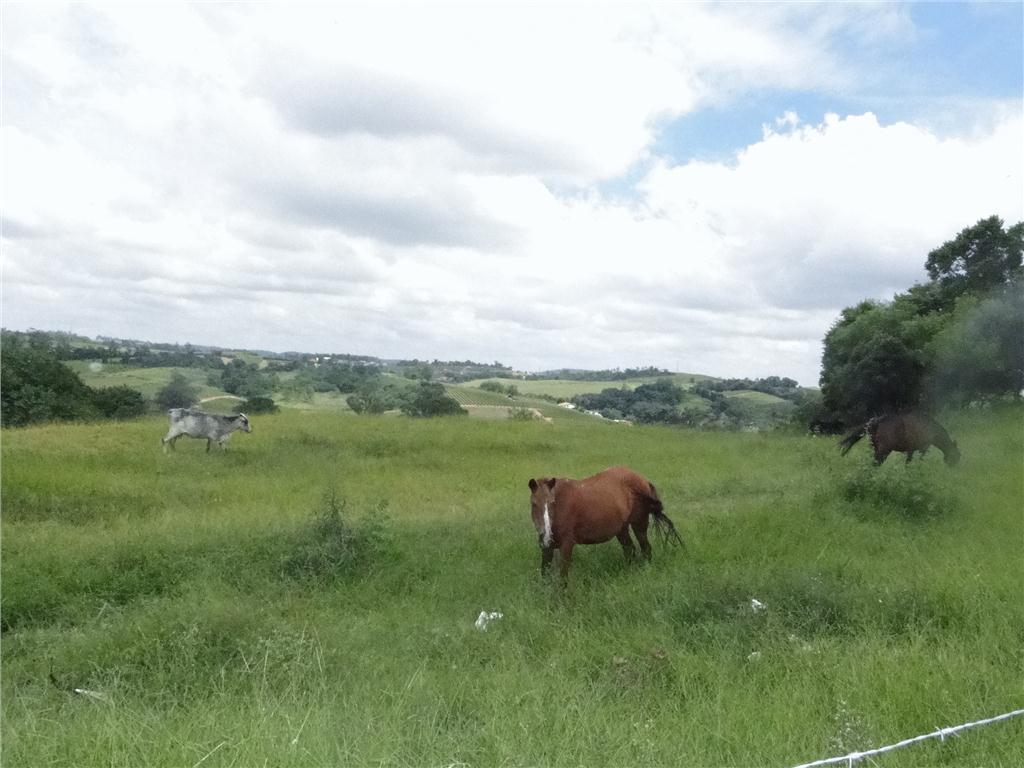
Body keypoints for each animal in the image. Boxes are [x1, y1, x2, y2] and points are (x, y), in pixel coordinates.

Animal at [528, 466, 679, 581]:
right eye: (534, 504)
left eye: (552, 503)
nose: (546, 535)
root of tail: (644, 480)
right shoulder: (547, 548)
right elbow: (544, 573)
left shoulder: (567, 545)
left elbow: (563, 578)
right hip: (621, 529)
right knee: (629, 549)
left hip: (639, 524)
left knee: (646, 549)